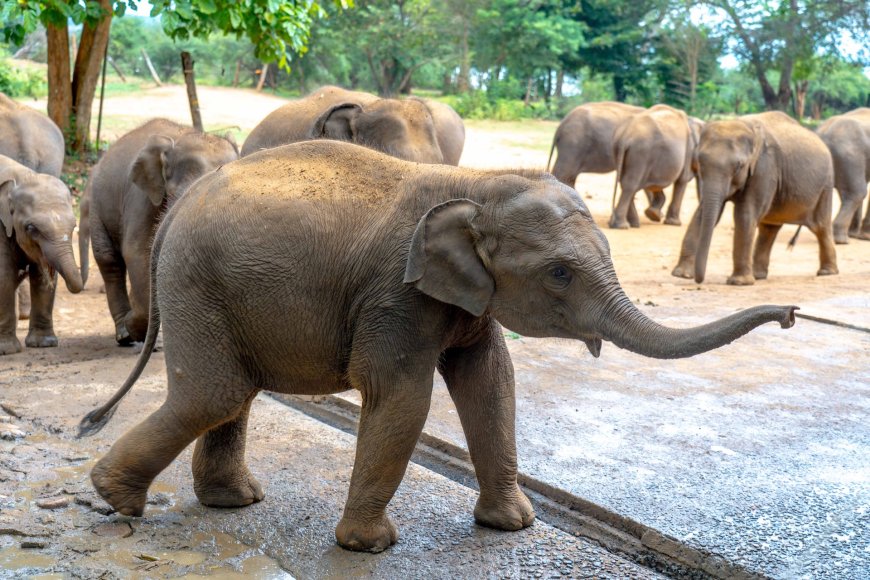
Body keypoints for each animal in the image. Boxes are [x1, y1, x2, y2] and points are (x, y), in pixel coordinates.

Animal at [1, 155, 83, 355]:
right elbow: (4, 276)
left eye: (74, 226)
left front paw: (44, 343)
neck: (22, 177)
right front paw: (7, 350)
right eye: (31, 228)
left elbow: (41, 278)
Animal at [84, 118, 238, 345]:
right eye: (177, 193)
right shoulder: (140, 196)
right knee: (109, 261)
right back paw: (125, 334)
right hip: (97, 206)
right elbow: (136, 251)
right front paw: (133, 327)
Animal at [672, 111, 838, 285]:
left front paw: (739, 283)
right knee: (769, 229)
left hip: (825, 186)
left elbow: (745, 214)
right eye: (700, 161)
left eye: (739, 165)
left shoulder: (765, 168)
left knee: (820, 226)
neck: (746, 126)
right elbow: (702, 212)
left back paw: (827, 272)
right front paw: (681, 274)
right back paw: (758, 275)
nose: (699, 280)